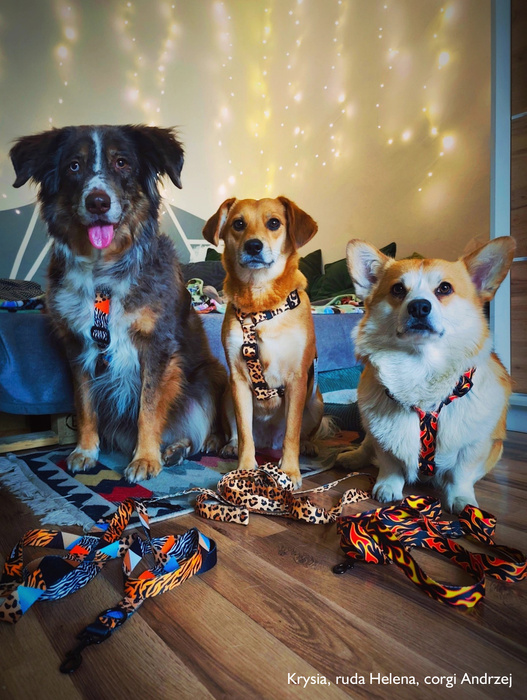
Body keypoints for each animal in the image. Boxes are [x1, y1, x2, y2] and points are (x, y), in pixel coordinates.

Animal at [10, 124, 226, 482]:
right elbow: (85, 406)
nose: (98, 202)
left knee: (206, 429)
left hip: (213, 374)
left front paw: (145, 459)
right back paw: (175, 449)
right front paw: (86, 451)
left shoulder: (156, 347)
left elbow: (148, 408)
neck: (104, 272)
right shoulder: (78, 346)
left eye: (122, 162)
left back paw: (203, 445)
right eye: (73, 166)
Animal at [202, 197, 327, 487]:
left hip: (315, 400)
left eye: (274, 223)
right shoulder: (238, 380)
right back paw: (228, 445)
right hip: (227, 395)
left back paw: (308, 445)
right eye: (238, 224)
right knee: (238, 433)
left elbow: (292, 432)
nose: (253, 246)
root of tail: (268, 441)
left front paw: (290, 471)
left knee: (301, 433)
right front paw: (246, 468)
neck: (260, 304)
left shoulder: (297, 380)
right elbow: (245, 434)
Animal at [336, 237, 516, 513]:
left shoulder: (475, 445)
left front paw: (462, 499)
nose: (419, 306)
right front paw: (387, 486)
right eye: (398, 289)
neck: (421, 367)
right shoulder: (383, 437)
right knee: (366, 445)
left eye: (445, 288)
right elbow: (389, 463)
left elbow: (462, 474)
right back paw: (351, 458)